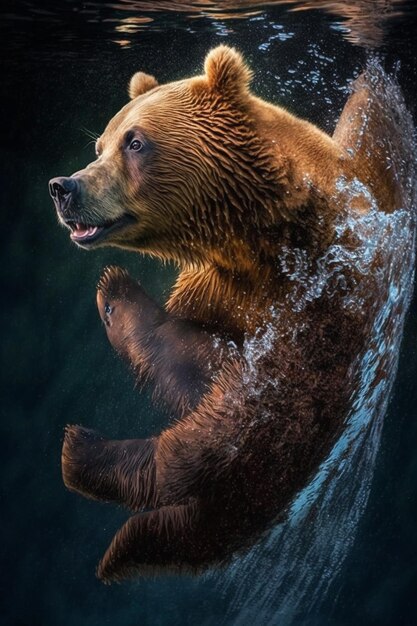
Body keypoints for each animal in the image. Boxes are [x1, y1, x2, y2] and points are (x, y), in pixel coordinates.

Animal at [48, 46, 410, 584]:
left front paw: (114, 289)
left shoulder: (316, 304)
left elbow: (231, 394)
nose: (64, 187)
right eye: (101, 142)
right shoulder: (218, 290)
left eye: (135, 141)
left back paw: (85, 455)